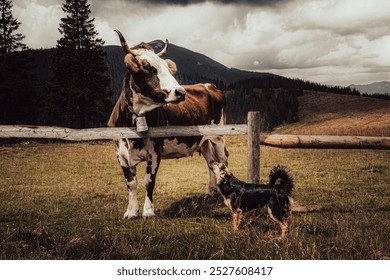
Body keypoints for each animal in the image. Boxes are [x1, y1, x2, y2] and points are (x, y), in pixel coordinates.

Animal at [106, 30, 229, 219]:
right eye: (148, 67)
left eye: (167, 67)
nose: (180, 92)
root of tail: (210, 85)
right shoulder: (119, 152)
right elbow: (131, 183)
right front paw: (131, 212)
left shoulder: (155, 150)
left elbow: (148, 181)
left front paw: (148, 211)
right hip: (204, 141)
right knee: (211, 164)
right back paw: (211, 191)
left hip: (218, 137)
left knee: (222, 163)